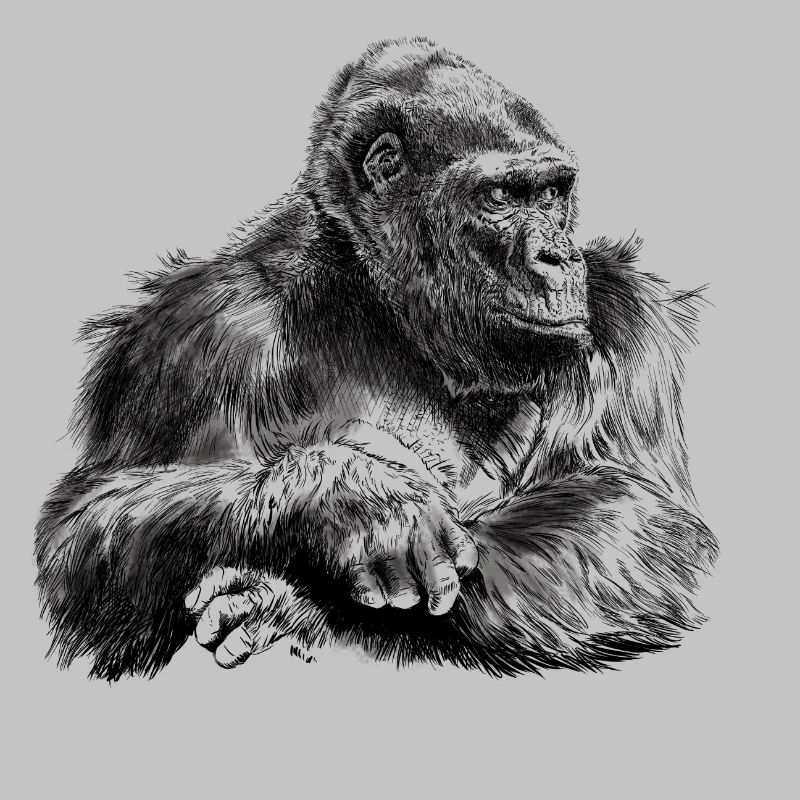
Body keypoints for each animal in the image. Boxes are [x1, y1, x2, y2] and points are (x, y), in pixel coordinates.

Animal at [36, 37, 717, 679]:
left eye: (552, 194)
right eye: (501, 196)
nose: (559, 257)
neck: (380, 301)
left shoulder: (626, 316)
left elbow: (643, 519)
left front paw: (300, 604)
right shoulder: (196, 330)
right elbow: (84, 536)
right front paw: (350, 500)